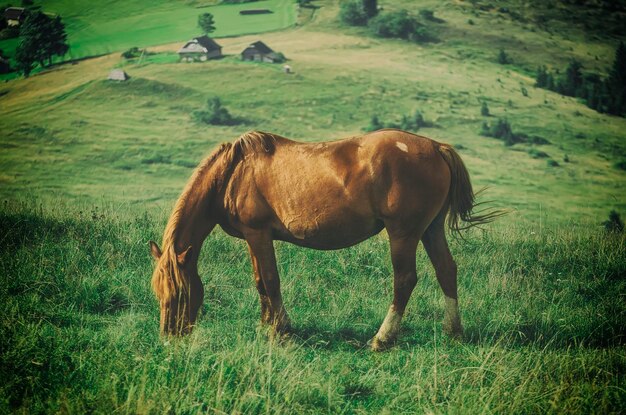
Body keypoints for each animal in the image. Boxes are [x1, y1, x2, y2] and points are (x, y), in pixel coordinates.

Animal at [149, 130, 494, 352]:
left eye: (180, 292)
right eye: (158, 292)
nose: (169, 336)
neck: (233, 173)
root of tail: (436, 147)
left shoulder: (258, 233)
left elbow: (270, 280)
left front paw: (281, 331)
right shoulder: (252, 237)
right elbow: (260, 280)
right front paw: (266, 325)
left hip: (403, 233)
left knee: (405, 279)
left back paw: (382, 339)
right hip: (430, 229)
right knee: (446, 270)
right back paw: (453, 331)